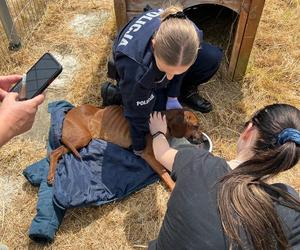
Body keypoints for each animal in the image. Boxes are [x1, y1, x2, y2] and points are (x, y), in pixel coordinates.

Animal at [48, 104, 204, 190]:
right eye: (196, 126)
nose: (203, 139)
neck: (164, 122)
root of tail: (70, 111)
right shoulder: (148, 155)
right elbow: (164, 172)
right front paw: (173, 186)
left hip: (77, 140)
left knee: (56, 152)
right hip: (82, 137)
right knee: (55, 152)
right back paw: (50, 176)